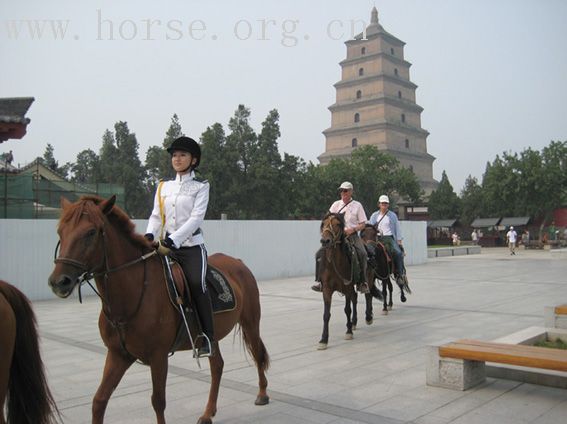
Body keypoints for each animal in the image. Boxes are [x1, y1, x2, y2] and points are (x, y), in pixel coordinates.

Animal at [47, 196, 270, 424]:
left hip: (251, 323)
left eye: (91, 232)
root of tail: (238, 263)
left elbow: (158, 401)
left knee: (257, 354)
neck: (134, 292)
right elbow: (99, 400)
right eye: (60, 231)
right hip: (212, 336)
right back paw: (208, 413)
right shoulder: (118, 355)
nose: (59, 282)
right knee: (217, 367)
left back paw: (262, 394)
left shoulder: (158, 356)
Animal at [318, 212, 380, 348]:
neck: (334, 264)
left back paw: (368, 317)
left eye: (337, 224)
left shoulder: (346, 286)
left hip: (368, 279)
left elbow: (347, 309)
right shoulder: (327, 289)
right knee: (355, 298)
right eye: (323, 224)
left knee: (368, 295)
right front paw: (323, 339)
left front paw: (348, 332)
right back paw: (354, 322)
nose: (325, 241)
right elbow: (326, 314)